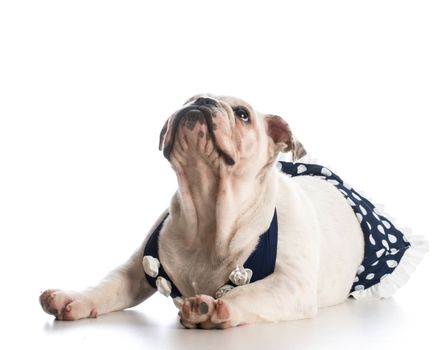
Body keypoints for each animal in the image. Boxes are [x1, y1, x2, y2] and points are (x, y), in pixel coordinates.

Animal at [38, 93, 428, 328]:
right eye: (189, 97)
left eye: (242, 115)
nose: (201, 101)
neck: (208, 213)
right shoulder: (137, 269)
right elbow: (108, 286)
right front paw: (73, 299)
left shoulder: (290, 286)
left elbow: (245, 292)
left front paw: (212, 308)